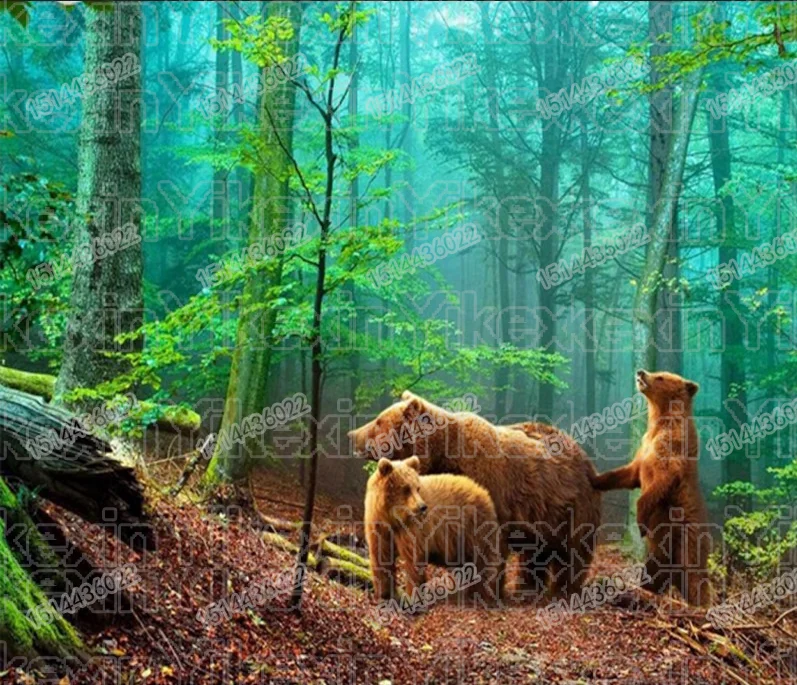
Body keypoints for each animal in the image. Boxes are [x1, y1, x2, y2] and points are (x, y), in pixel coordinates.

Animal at [364, 456, 505, 607]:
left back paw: (484, 592)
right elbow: (381, 556)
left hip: (473, 526)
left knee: (484, 558)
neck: (392, 518)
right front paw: (384, 594)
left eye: (417, 488)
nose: (422, 507)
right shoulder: (378, 526)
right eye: (406, 488)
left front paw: (412, 598)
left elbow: (413, 560)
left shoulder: (412, 529)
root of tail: (483, 491)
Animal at [590, 370, 713, 606]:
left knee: (694, 576)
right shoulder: (644, 447)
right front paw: (595, 477)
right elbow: (628, 474)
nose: (641, 372)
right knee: (654, 571)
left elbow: (660, 482)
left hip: (688, 536)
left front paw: (640, 522)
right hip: (659, 552)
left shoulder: (672, 450)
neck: (659, 423)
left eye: (661, 377)